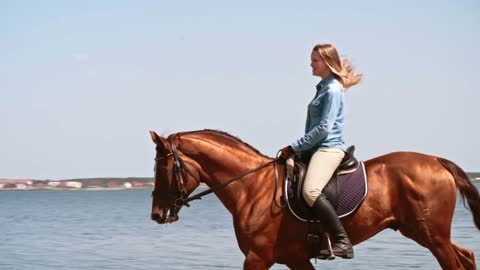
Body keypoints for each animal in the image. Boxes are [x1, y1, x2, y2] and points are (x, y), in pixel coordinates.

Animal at [149, 130, 480, 268]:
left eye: (162, 167)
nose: (155, 213)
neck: (252, 188)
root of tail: (436, 161)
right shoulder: (294, 259)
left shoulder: (257, 257)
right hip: (422, 232)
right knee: (466, 256)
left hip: (431, 235)